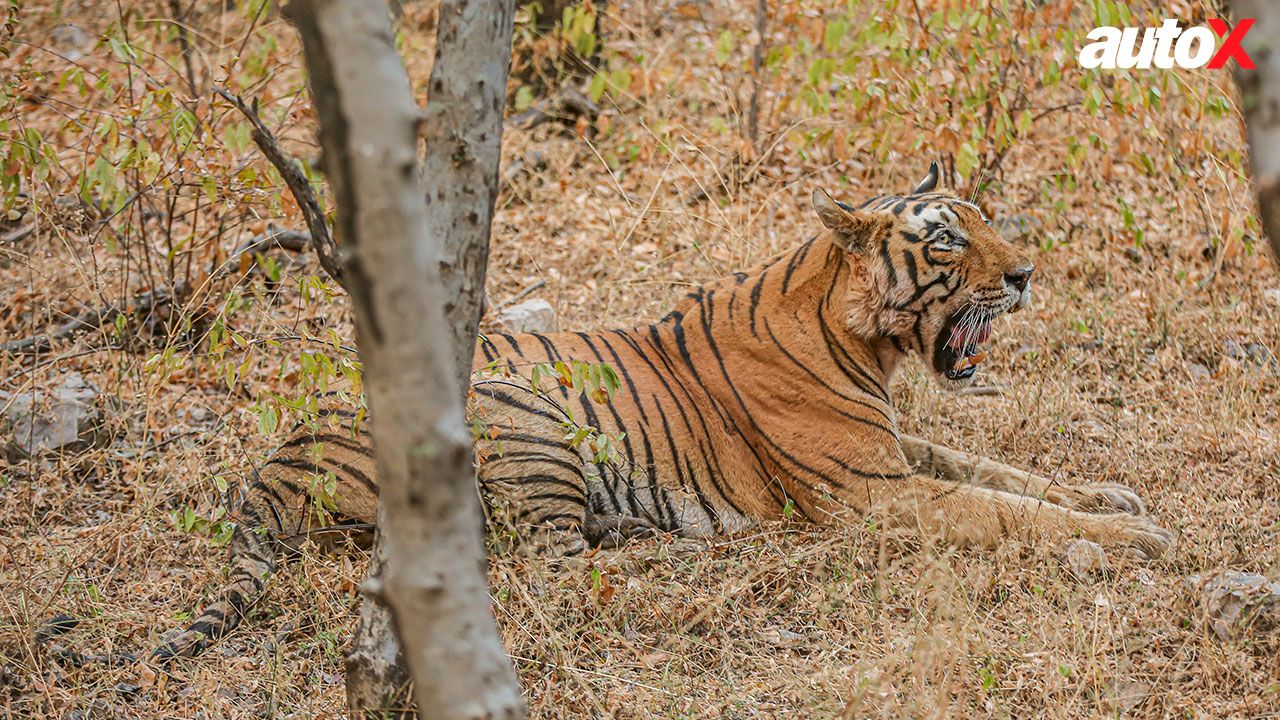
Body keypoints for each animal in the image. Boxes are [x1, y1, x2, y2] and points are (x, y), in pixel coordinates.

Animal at [149, 165, 1172, 661]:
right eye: (950, 241)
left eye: (988, 220)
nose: (1028, 274)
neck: (863, 339)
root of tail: (277, 455)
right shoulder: (874, 489)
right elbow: (1009, 510)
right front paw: (1138, 540)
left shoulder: (897, 451)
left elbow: (1010, 475)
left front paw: (1117, 498)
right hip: (529, 420)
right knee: (549, 569)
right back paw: (698, 554)